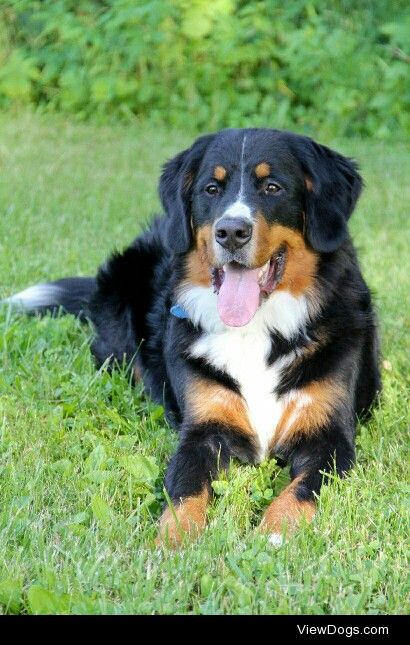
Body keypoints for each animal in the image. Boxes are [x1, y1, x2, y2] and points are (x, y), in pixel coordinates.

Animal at [5, 130, 382, 544]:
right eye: (211, 189)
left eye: (273, 187)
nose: (231, 232)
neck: (257, 329)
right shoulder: (202, 430)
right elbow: (183, 489)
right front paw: (174, 541)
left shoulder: (330, 439)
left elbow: (298, 492)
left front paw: (274, 533)